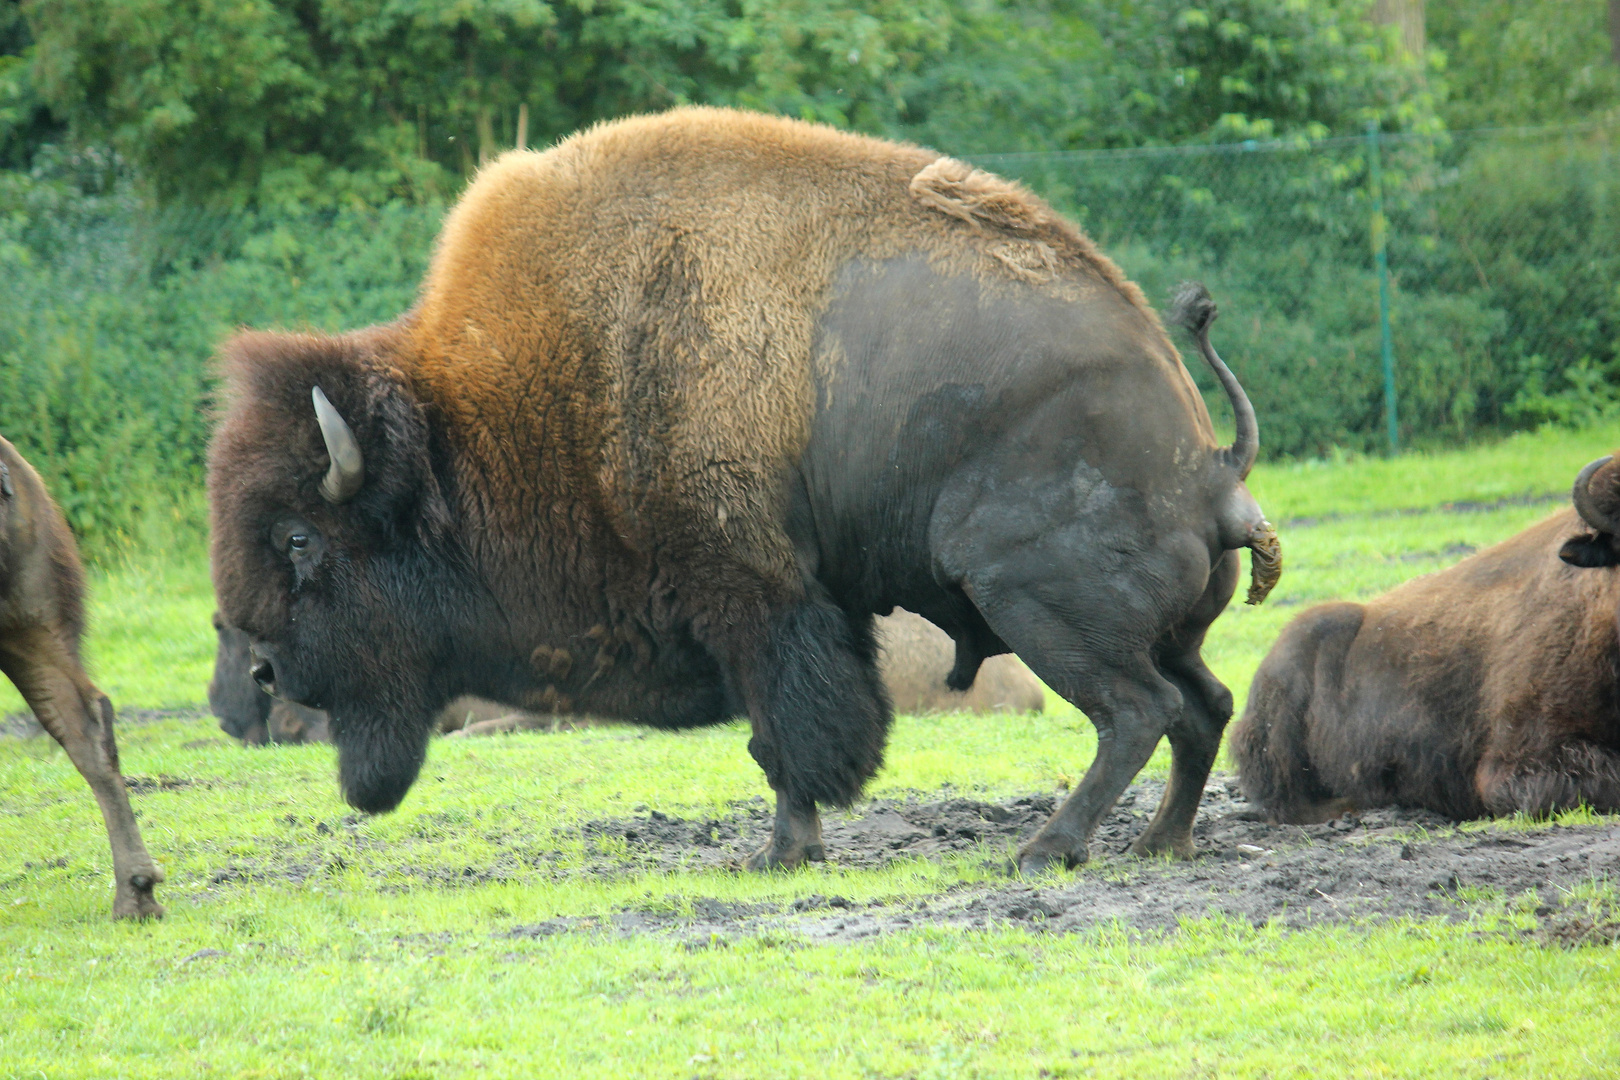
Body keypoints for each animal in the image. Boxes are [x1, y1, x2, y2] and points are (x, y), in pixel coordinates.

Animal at [212, 107, 1276, 880]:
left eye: (300, 540)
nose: (261, 676)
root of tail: (1212, 463)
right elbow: (783, 739)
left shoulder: (755, 594)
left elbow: (789, 737)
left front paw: (783, 854)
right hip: (1162, 627)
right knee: (1203, 704)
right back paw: (1160, 842)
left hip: (1033, 604)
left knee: (1135, 710)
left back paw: (1046, 849)